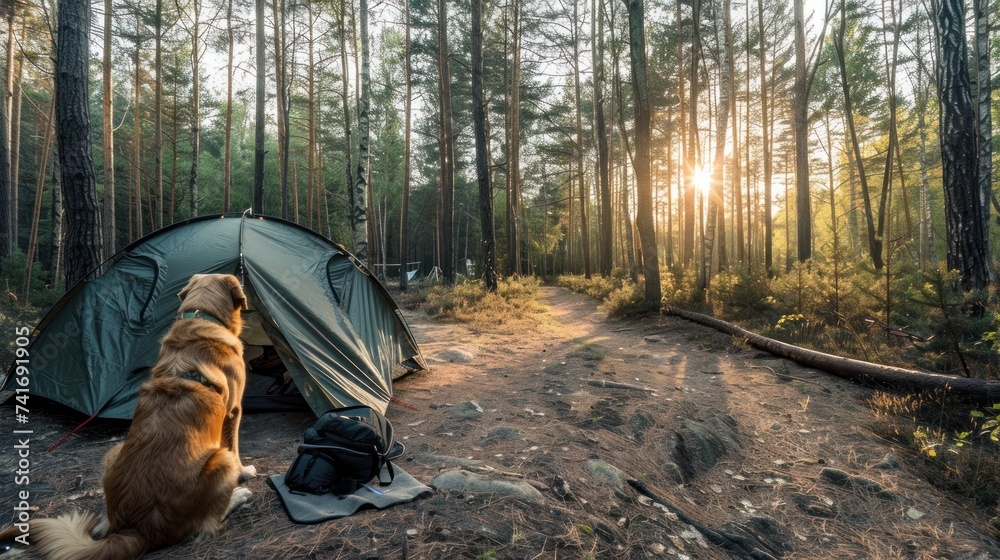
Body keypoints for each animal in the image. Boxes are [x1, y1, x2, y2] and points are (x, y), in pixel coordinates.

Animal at [1, 274, 258, 556]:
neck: (202, 316)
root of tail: (135, 528)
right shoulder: (233, 411)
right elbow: (235, 447)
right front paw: (244, 471)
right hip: (220, 460)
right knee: (206, 522)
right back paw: (238, 495)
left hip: (114, 451)